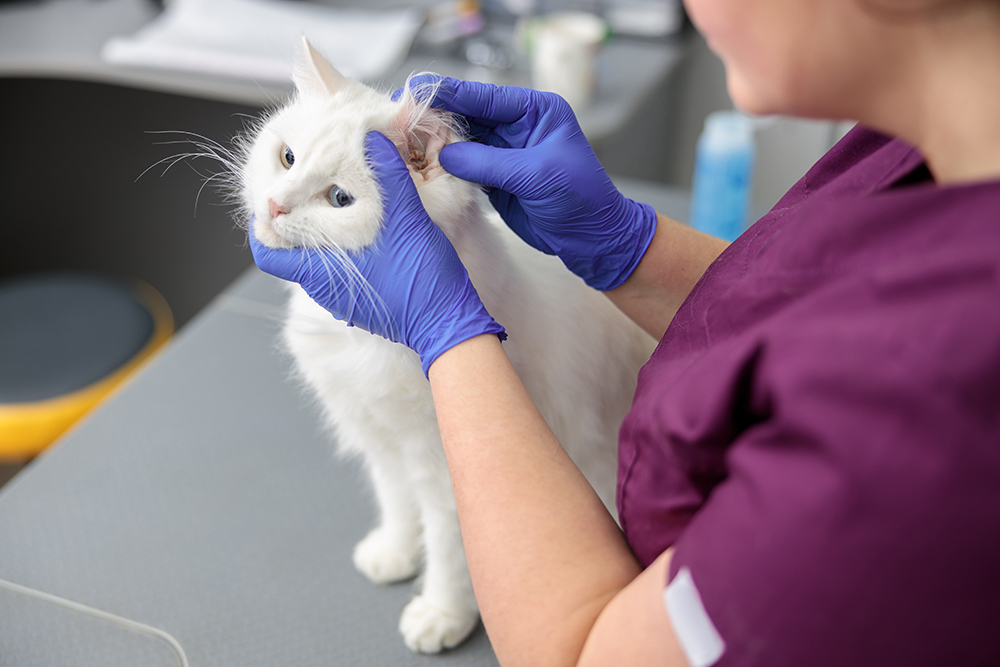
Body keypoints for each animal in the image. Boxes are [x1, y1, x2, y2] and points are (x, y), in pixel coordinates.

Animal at [240, 39, 656, 656]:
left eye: (339, 198)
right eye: (287, 158)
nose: (274, 206)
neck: (365, 334)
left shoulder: (444, 471)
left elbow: (450, 550)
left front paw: (442, 612)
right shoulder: (381, 442)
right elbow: (395, 502)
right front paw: (395, 553)